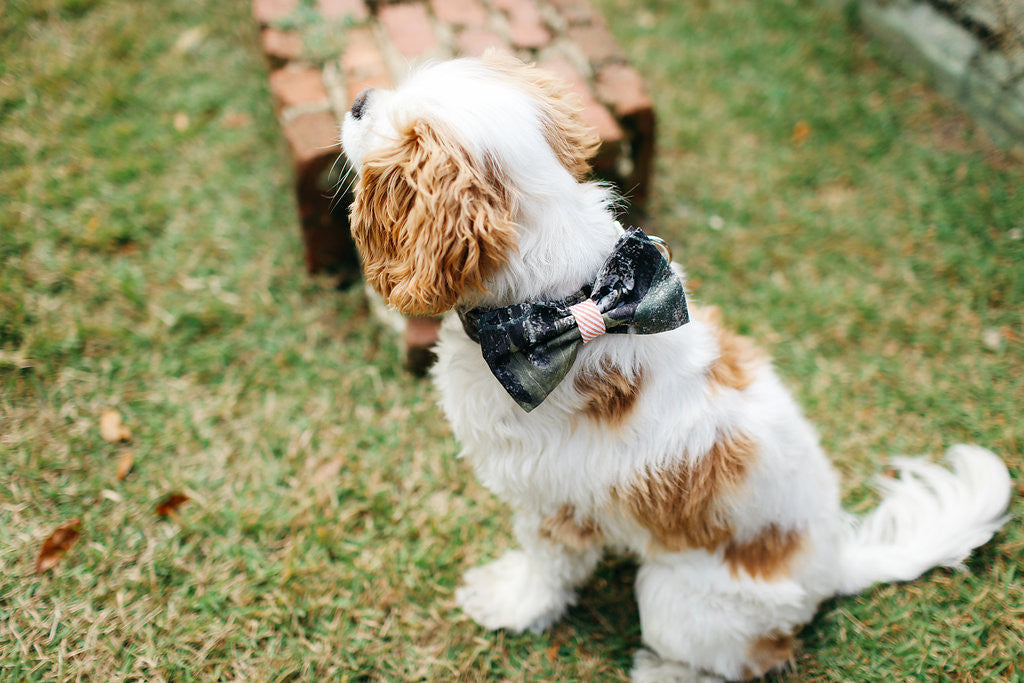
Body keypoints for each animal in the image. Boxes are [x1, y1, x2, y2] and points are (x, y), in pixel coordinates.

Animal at [339, 56, 1011, 679]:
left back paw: (662, 669)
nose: (358, 97)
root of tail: (835, 566)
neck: (560, 304)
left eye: (398, 132)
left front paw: (512, 604)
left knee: (746, 659)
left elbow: (545, 571)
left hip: (673, 599)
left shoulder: (553, 508)